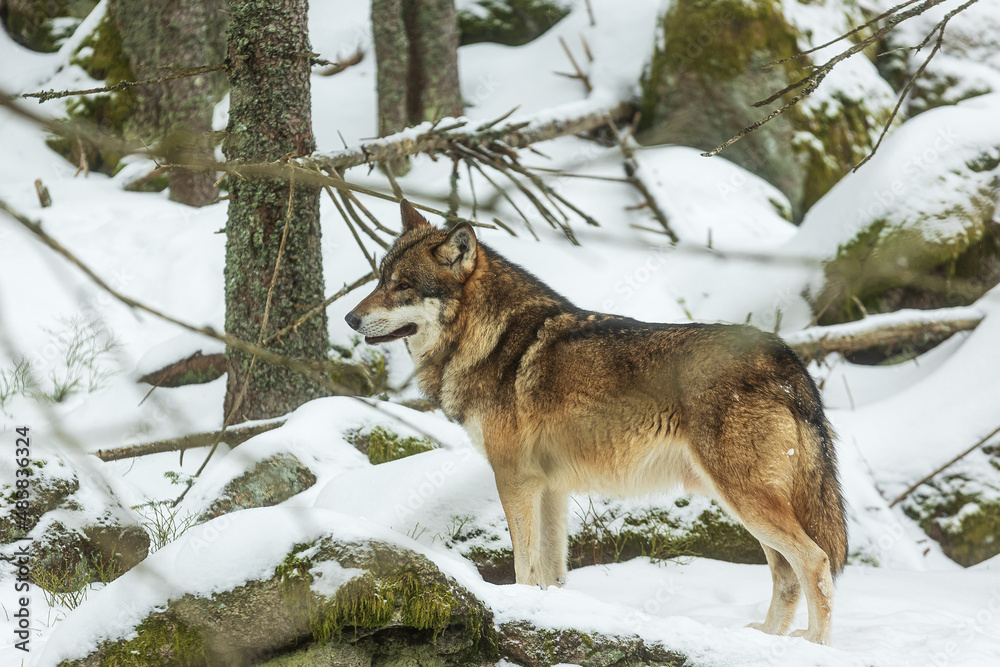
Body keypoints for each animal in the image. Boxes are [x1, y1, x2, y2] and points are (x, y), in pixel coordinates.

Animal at [346, 201, 848, 644]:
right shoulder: (550, 487)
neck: (489, 339)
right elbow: (552, 572)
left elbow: (524, 566)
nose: (349, 318)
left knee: (815, 561)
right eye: (379, 279)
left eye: (402, 286)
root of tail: (785, 356)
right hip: (745, 503)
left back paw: (815, 645)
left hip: (744, 498)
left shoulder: (514, 479)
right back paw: (768, 638)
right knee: (785, 574)